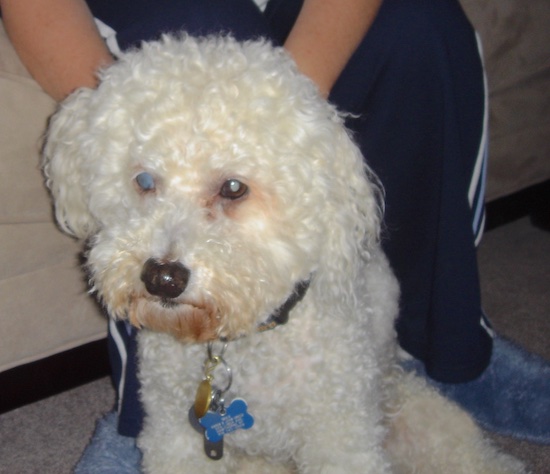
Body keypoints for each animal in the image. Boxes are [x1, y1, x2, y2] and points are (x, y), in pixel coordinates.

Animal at [43, 34, 528, 474]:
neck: (245, 342)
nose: (163, 278)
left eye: (233, 188)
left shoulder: (340, 439)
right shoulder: (175, 435)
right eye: (144, 180)